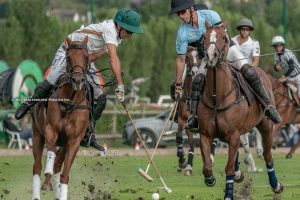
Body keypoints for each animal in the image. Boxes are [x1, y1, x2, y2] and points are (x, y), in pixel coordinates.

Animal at [31, 36, 91, 199]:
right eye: (68, 57)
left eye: (86, 57)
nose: (77, 81)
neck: (69, 102)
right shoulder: (50, 130)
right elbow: (51, 151)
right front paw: (47, 179)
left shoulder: (74, 140)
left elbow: (65, 174)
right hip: (37, 134)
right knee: (37, 167)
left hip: (64, 143)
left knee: (58, 164)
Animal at [199, 22, 284, 199]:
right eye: (204, 37)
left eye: (224, 38)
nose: (211, 57)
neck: (217, 97)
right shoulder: (205, 134)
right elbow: (207, 166)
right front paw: (210, 179)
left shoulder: (233, 135)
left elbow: (229, 168)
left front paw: (228, 194)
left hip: (266, 126)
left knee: (268, 156)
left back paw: (276, 185)